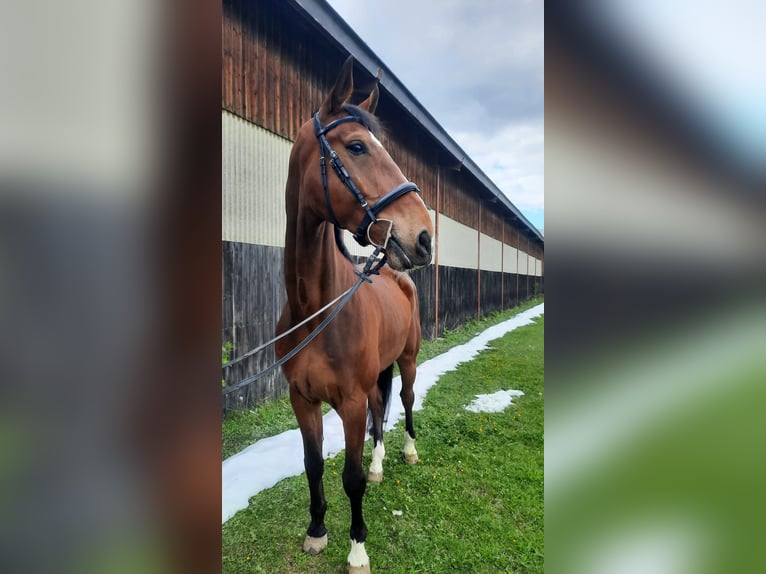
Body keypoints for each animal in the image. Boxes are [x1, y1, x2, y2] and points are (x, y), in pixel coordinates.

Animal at [276, 56, 436, 572]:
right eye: (357, 146)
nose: (423, 236)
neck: (315, 312)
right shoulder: (302, 401)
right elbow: (312, 465)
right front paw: (317, 532)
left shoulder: (345, 402)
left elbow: (350, 478)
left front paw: (358, 549)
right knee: (379, 412)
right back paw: (381, 464)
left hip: (406, 360)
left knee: (403, 401)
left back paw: (407, 453)